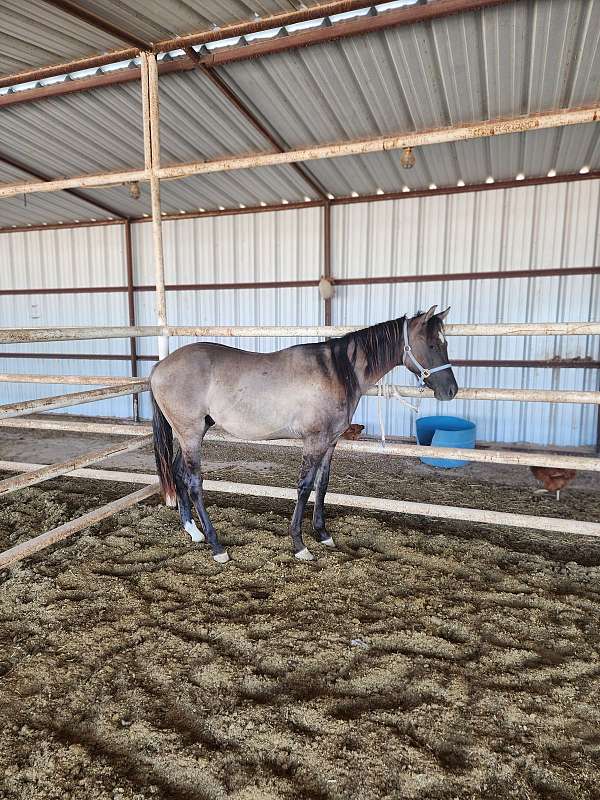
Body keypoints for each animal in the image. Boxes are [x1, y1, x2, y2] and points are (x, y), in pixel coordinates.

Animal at [150, 305, 458, 563]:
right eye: (432, 344)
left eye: (445, 343)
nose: (451, 391)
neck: (337, 371)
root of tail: (158, 368)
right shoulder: (314, 441)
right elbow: (304, 487)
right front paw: (300, 545)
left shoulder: (330, 442)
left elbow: (322, 485)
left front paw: (323, 534)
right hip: (191, 434)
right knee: (194, 483)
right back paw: (217, 547)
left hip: (191, 433)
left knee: (178, 472)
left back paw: (193, 531)